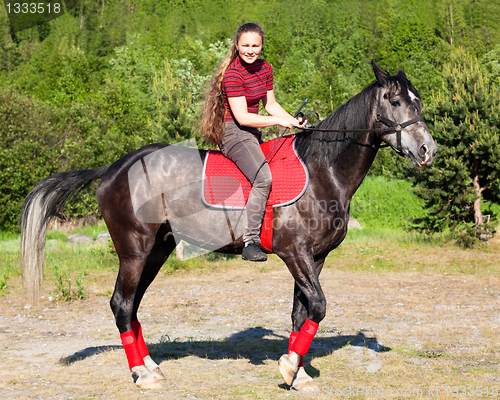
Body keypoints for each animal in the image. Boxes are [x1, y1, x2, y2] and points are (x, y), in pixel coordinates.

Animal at [19, 61, 436, 390]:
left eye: (418, 102)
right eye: (395, 102)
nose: (428, 150)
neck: (323, 170)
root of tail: (113, 168)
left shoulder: (315, 258)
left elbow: (302, 314)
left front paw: (297, 373)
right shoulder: (294, 254)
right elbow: (317, 307)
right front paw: (290, 367)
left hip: (156, 250)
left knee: (132, 305)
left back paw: (151, 365)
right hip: (134, 250)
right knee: (121, 304)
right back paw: (142, 374)